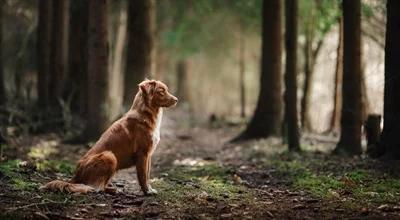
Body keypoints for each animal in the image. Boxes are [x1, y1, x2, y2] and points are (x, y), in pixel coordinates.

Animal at [41, 79, 177, 194]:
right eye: (161, 91)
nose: (176, 99)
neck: (145, 113)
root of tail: (76, 175)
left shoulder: (148, 155)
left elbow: (147, 174)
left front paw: (149, 189)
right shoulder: (142, 153)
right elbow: (143, 176)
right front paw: (147, 191)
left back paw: (113, 189)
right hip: (109, 156)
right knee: (95, 187)